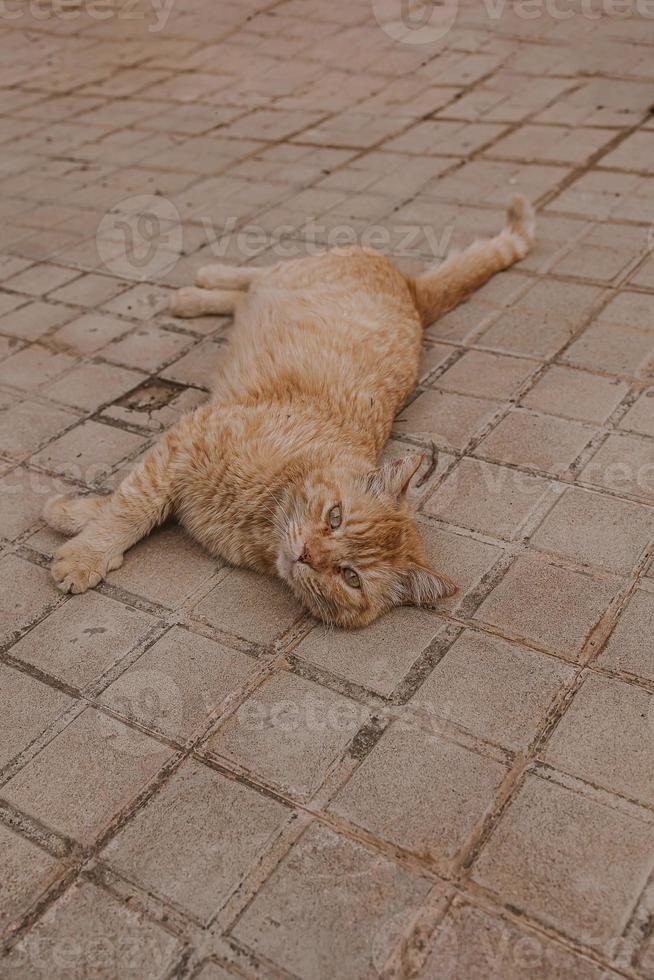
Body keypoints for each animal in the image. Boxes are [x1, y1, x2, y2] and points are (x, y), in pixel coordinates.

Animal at [44, 198, 540, 628]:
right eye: (335, 516)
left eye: (350, 576)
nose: (307, 555)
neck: (264, 517)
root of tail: (412, 291)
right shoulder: (183, 444)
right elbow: (130, 508)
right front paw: (86, 549)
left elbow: (137, 506)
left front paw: (73, 519)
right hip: (291, 273)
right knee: (253, 274)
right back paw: (199, 283)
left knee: (245, 291)